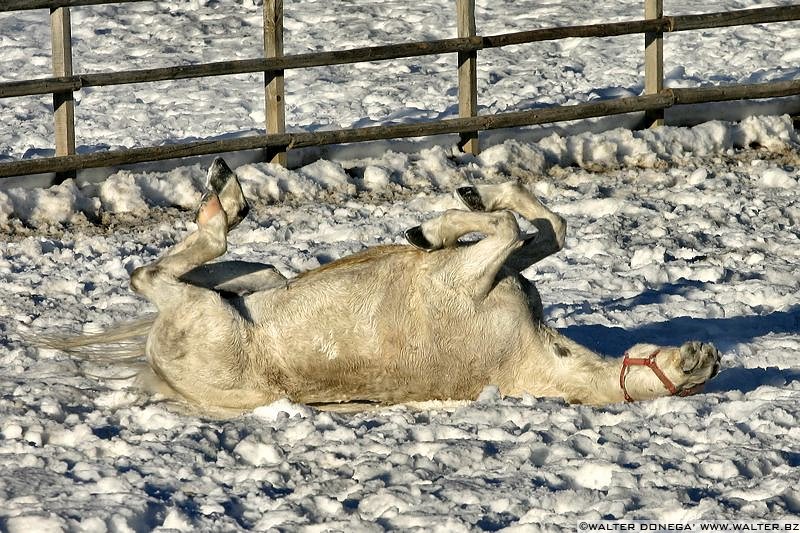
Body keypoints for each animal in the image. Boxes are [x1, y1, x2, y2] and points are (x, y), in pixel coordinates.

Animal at [50, 156, 724, 414]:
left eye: (692, 377)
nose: (706, 353)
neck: (534, 356)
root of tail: (162, 369)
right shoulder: (501, 266)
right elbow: (546, 228)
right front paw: (471, 199)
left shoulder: (475, 274)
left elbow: (510, 228)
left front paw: (432, 227)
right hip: (260, 286)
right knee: (231, 270)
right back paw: (228, 195)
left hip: (201, 310)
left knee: (152, 273)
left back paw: (225, 199)